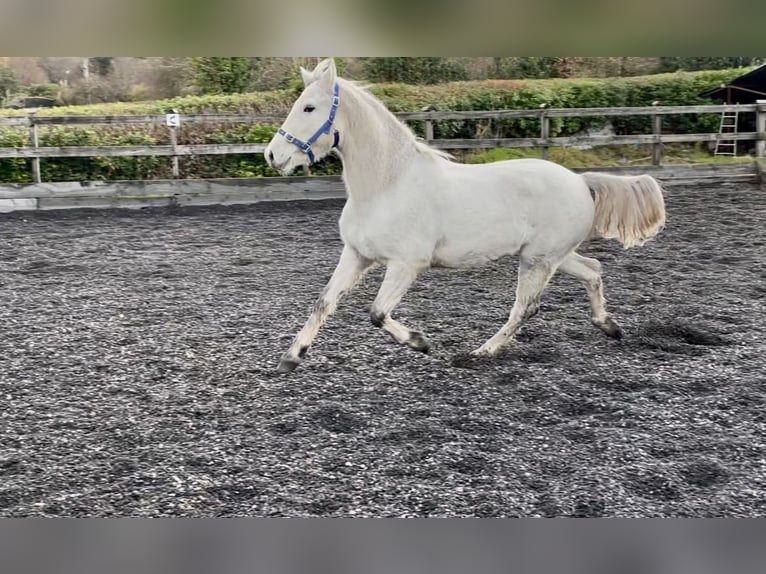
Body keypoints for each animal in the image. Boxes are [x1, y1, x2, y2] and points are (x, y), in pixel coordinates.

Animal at [265, 58, 666, 373]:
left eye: (309, 108)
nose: (272, 155)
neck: (386, 186)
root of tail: (581, 181)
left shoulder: (406, 264)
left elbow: (377, 313)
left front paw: (420, 342)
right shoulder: (357, 255)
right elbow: (324, 302)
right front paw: (290, 358)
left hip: (539, 260)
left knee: (525, 308)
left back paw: (479, 353)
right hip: (552, 256)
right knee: (593, 270)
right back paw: (609, 326)